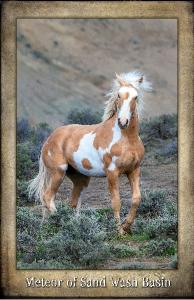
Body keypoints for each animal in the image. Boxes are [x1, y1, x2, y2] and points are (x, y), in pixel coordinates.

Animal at [27, 71, 152, 234]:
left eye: (135, 97)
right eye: (118, 95)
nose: (123, 122)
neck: (126, 139)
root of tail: (49, 139)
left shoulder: (134, 170)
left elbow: (136, 199)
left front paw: (126, 227)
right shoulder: (112, 172)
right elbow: (116, 201)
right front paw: (119, 231)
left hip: (80, 179)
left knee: (71, 202)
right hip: (58, 172)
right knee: (47, 197)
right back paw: (64, 223)